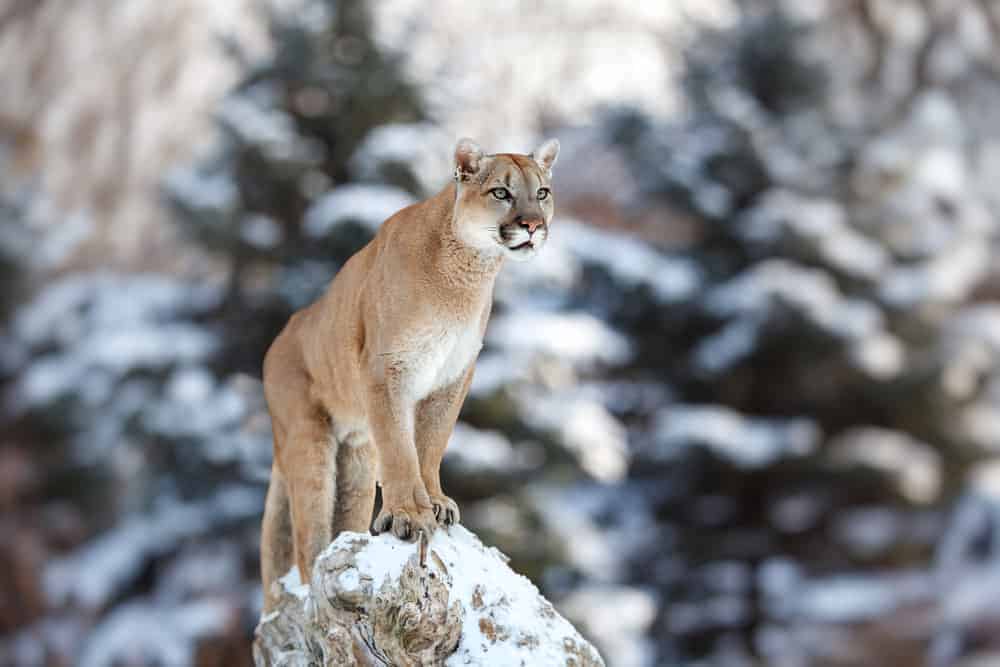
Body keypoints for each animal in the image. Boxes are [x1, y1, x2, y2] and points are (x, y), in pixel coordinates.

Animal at [260, 137, 559, 608]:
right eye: (501, 193)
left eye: (542, 193)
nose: (532, 225)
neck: (467, 272)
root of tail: (277, 341)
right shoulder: (388, 368)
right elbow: (401, 448)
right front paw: (410, 516)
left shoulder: (453, 375)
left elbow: (432, 442)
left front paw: (435, 502)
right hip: (309, 442)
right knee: (307, 542)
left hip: (356, 456)